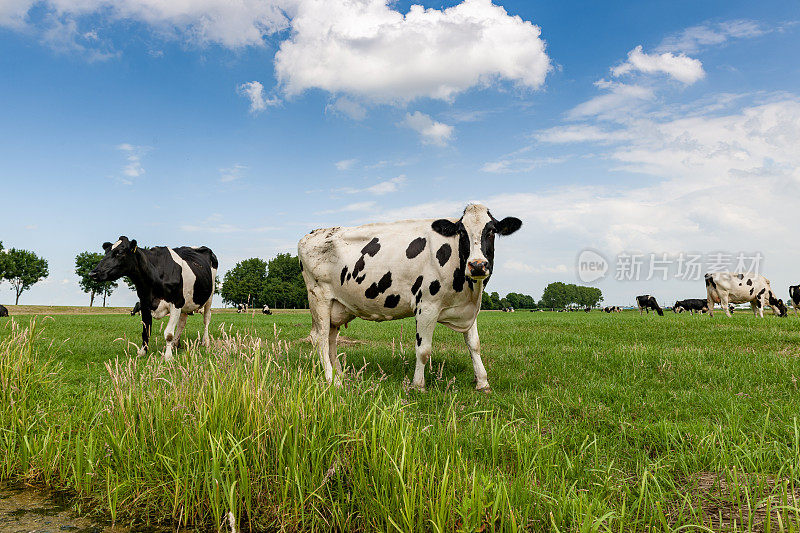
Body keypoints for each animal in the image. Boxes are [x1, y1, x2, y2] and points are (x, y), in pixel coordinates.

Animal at [90, 236, 219, 358]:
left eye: (119, 252)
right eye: (106, 252)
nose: (93, 273)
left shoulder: (176, 303)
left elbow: (168, 334)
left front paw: (168, 357)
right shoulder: (145, 303)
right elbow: (146, 331)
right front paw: (142, 352)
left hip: (210, 296)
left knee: (206, 319)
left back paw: (205, 342)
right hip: (186, 302)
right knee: (182, 322)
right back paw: (175, 344)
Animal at [296, 201, 520, 390]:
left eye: (491, 231)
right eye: (462, 233)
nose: (477, 265)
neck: (469, 291)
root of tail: (312, 233)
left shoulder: (469, 309)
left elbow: (475, 345)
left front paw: (482, 382)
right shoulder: (426, 305)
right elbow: (423, 350)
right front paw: (418, 385)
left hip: (337, 306)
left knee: (331, 340)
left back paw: (341, 375)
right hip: (319, 298)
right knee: (320, 339)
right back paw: (332, 380)